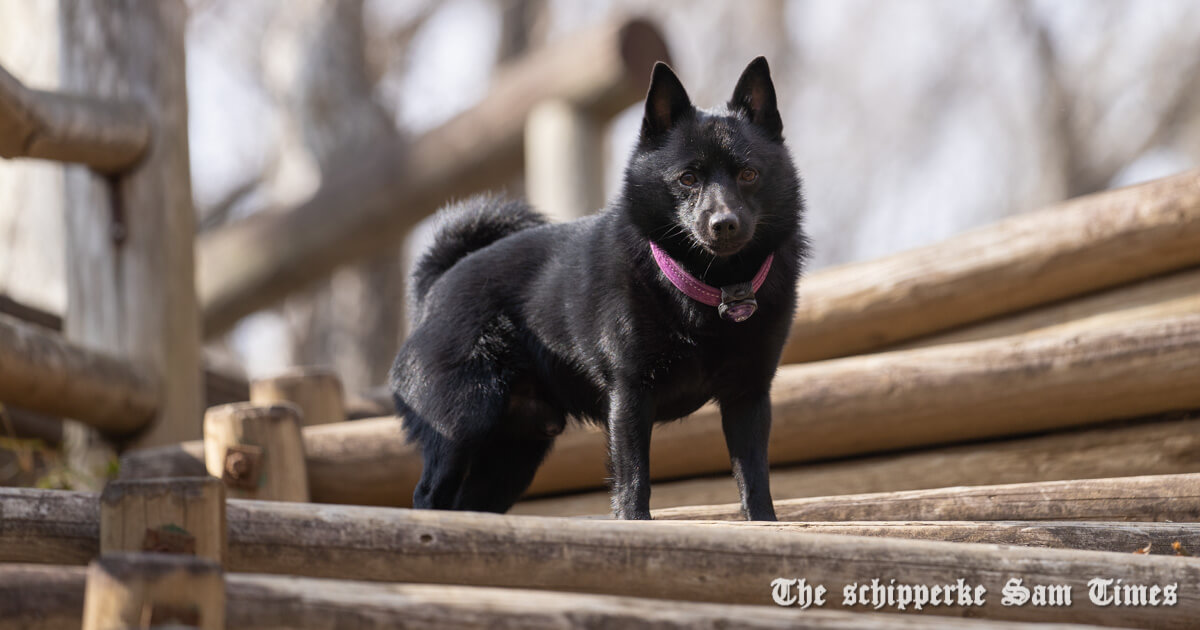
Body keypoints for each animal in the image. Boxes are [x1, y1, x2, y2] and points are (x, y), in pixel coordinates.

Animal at [391, 57, 806, 520]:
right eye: (687, 178)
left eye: (749, 174)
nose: (724, 223)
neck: (708, 289)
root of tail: (434, 291)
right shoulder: (629, 396)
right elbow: (634, 480)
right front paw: (634, 524)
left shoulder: (748, 397)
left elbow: (753, 477)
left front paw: (765, 524)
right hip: (465, 421)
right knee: (428, 495)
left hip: (513, 455)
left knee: (470, 505)